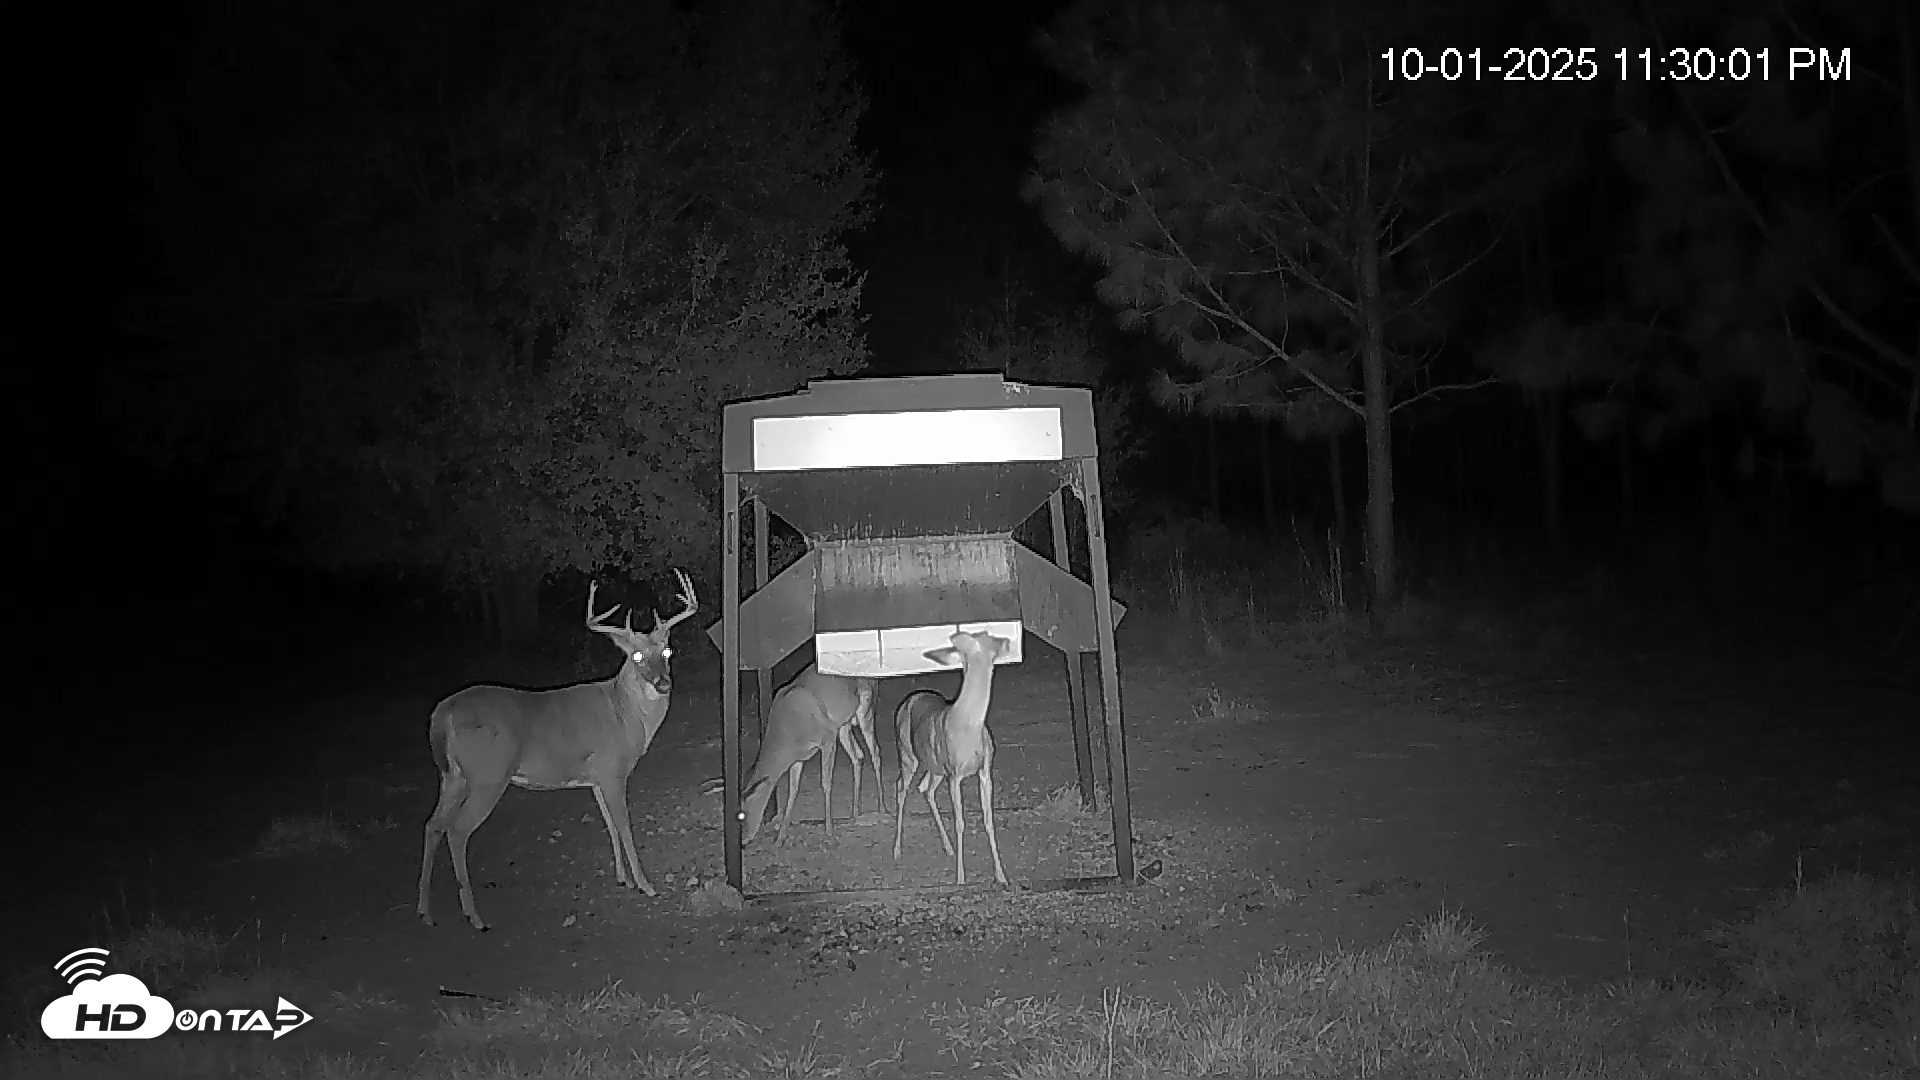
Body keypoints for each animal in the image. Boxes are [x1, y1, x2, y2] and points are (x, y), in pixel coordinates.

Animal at [416, 571, 697, 931]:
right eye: (635, 656)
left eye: (667, 651)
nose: (663, 684)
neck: (624, 714)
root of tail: (442, 713)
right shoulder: (612, 768)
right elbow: (624, 825)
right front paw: (646, 884)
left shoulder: (596, 776)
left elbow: (609, 823)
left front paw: (623, 878)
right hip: (488, 776)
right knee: (457, 830)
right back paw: (475, 916)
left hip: (452, 776)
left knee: (432, 825)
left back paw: (425, 910)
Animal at [738, 664, 882, 846]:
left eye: (742, 815)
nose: (743, 840)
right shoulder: (798, 758)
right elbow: (792, 791)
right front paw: (780, 837)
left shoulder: (827, 735)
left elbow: (826, 782)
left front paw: (829, 831)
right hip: (844, 725)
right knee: (858, 756)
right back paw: (855, 813)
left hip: (866, 709)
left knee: (875, 753)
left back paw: (883, 808)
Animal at [891, 631, 1011, 886]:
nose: (1006, 641)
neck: (968, 729)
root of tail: (908, 700)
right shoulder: (955, 775)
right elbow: (960, 823)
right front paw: (961, 878)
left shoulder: (985, 771)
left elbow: (989, 820)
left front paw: (1001, 875)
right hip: (907, 754)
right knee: (901, 788)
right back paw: (897, 850)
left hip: (935, 767)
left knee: (925, 788)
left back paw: (948, 848)